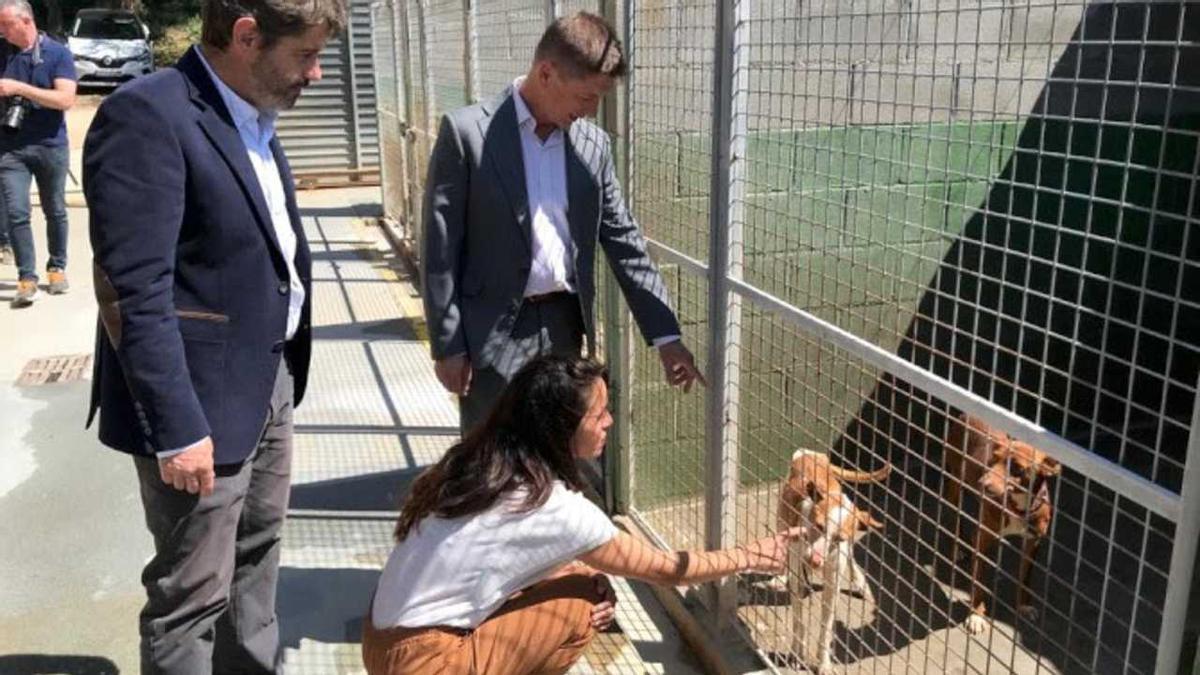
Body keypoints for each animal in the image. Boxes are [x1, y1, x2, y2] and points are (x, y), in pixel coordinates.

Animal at [772, 446, 888, 672]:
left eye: (838, 538)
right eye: (818, 525)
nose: (814, 562)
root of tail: (810, 453)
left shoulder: (833, 582)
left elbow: (826, 628)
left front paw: (824, 662)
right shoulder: (798, 574)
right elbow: (798, 619)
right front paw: (796, 653)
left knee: (851, 557)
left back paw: (861, 583)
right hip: (782, 520)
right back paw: (779, 577)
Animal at [945, 410, 1060, 629]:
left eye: (1017, 468)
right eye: (993, 459)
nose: (983, 483)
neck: (1020, 508)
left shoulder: (1033, 542)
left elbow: (1025, 577)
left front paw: (1024, 606)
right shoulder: (983, 539)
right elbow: (978, 582)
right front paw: (976, 615)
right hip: (955, 482)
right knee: (954, 514)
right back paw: (957, 548)